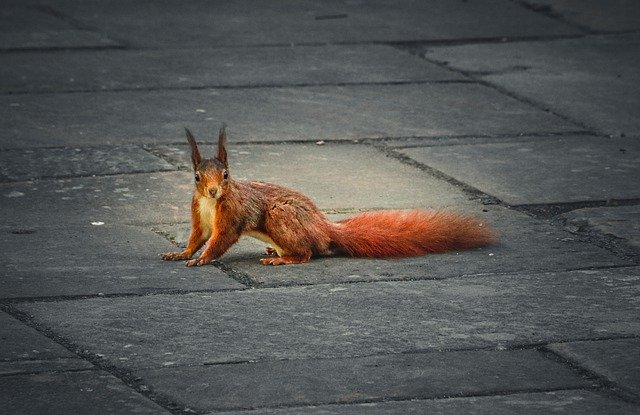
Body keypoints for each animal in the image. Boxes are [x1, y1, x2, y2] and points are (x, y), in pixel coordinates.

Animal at [161, 126, 495, 266]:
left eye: (226, 175)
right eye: (197, 177)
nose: (214, 190)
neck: (211, 203)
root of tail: (324, 228)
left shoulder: (232, 215)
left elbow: (221, 240)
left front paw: (202, 259)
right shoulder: (200, 215)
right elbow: (198, 236)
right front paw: (182, 254)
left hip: (281, 216)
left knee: (309, 253)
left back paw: (284, 259)